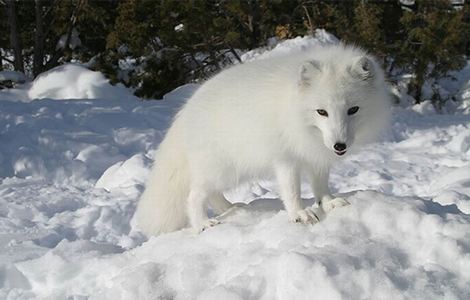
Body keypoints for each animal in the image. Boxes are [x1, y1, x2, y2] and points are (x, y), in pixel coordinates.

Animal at [135, 43, 390, 234]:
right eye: (322, 112)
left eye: (353, 110)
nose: (339, 146)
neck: (293, 110)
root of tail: (186, 109)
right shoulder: (286, 159)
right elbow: (292, 191)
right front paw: (299, 214)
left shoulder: (316, 156)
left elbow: (321, 185)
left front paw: (328, 202)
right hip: (220, 169)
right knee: (194, 195)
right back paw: (203, 224)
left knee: (213, 194)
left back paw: (232, 207)